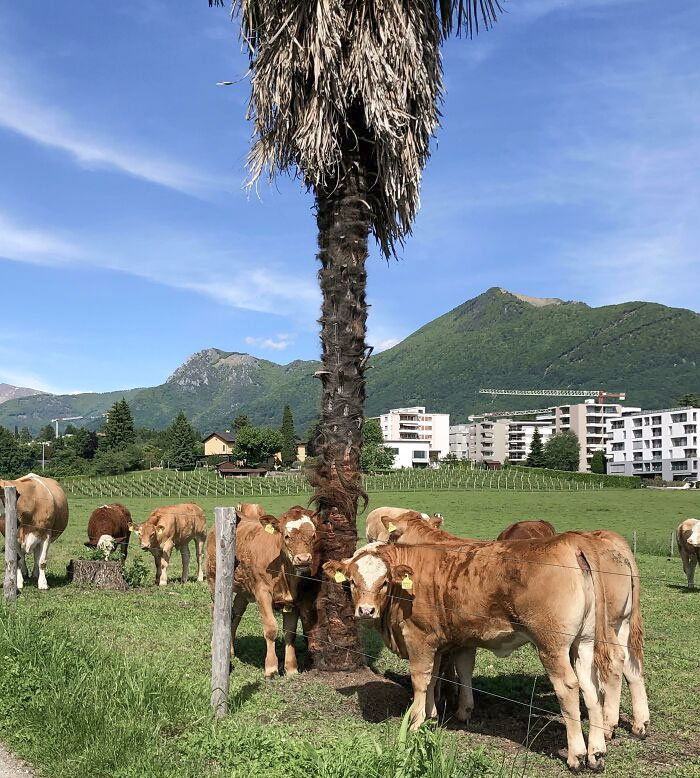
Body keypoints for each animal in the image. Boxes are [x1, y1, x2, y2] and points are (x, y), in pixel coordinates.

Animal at [206, 505, 319, 679]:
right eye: (286, 536)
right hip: (213, 580)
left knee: (235, 614)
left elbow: (290, 633)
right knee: (217, 613)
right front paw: (271, 668)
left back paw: (229, 651)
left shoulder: (293, 599)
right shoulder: (262, 593)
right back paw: (215, 648)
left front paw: (291, 668)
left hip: (244, 589)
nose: (304, 559)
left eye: (313, 535)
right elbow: (271, 629)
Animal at [324, 535, 615, 772]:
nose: (366, 610)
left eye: (384, 582)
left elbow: (420, 680)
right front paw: (433, 715)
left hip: (551, 646)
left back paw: (577, 755)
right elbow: (438, 676)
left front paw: (415, 723)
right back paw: (596, 753)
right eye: (351, 581)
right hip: (584, 642)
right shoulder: (439, 642)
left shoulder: (419, 639)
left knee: (568, 687)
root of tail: (569, 542)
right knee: (591, 687)